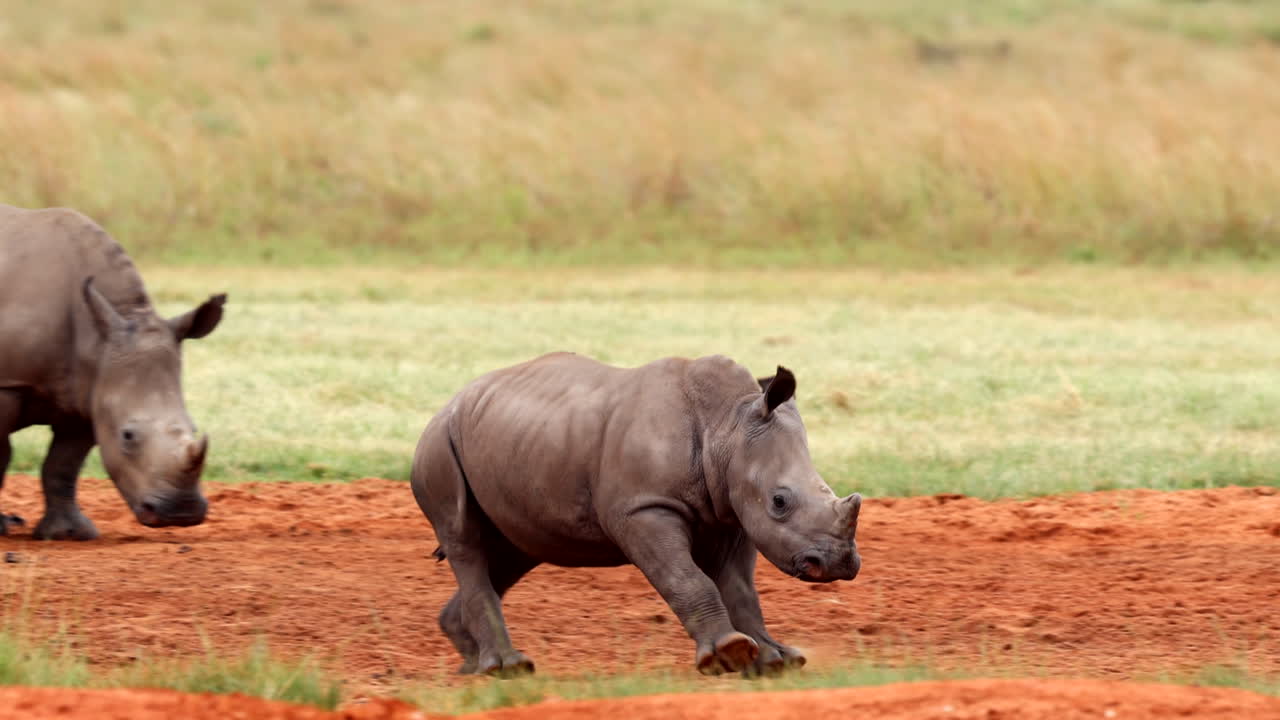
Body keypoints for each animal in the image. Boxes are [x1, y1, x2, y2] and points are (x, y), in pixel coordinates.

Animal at [0, 205, 226, 540]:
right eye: (128, 436)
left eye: (193, 428)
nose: (180, 513)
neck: (97, 342)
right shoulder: (9, 384)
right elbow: (1, 456)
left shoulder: (88, 392)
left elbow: (63, 464)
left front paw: (69, 534)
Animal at [411, 352, 862, 677]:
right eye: (780, 501)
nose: (836, 564)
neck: (726, 427)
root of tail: (448, 404)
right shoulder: (643, 508)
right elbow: (687, 579)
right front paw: (727, 655)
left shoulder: (731, 514)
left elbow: (740, 589)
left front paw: (774, 660)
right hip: (438, 445)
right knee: (464, 539)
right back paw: (507, 669)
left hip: (514, 444)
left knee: (513, 551)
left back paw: (473, 667)